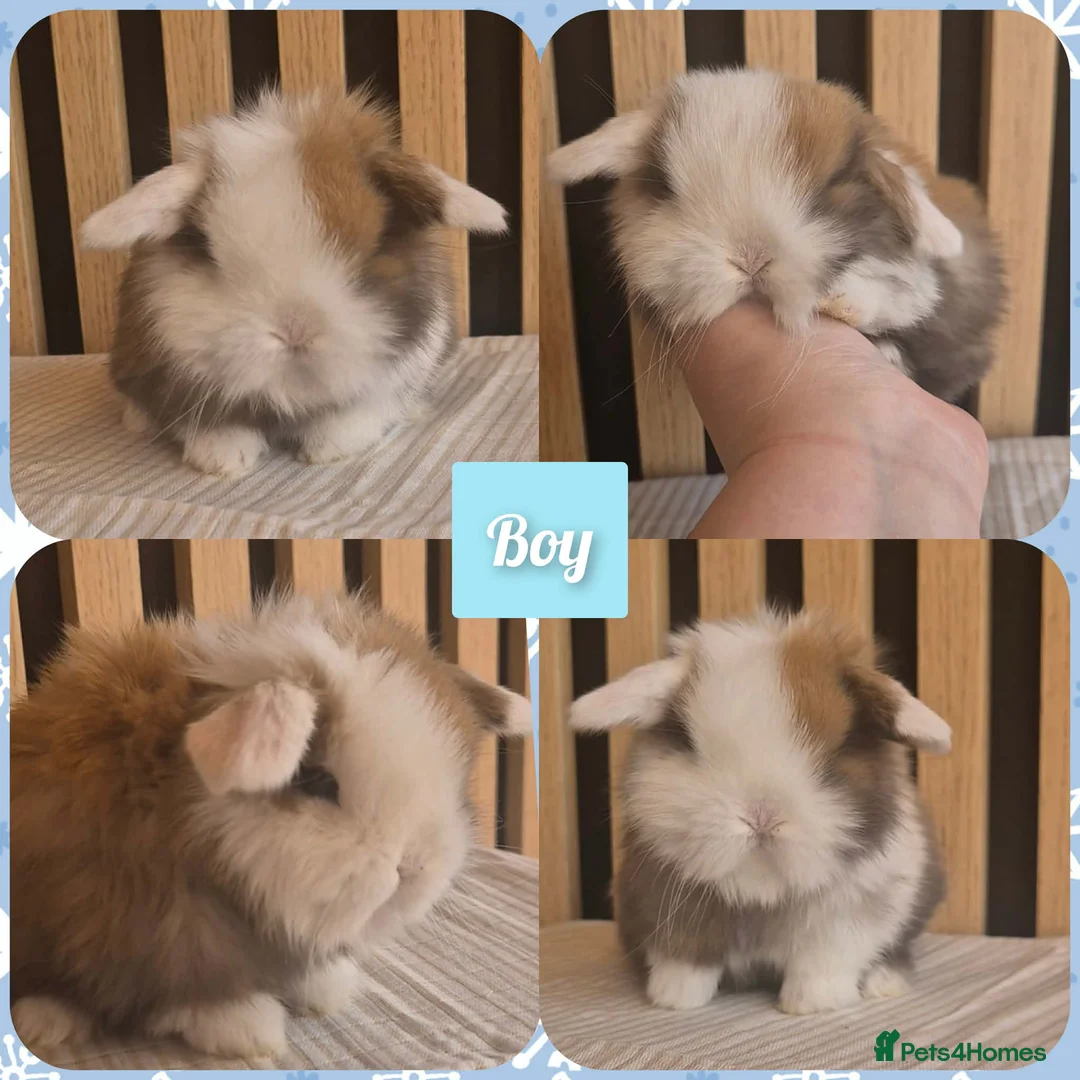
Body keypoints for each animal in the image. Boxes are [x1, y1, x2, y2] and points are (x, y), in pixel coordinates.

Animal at [10, 592, 532, 1060]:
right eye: (316, 781)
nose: (415, 870)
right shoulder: (165, 931)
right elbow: (195, 993)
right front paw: (248, 1030)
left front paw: (329, 990)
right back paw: (46, 1022)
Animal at [80, 88, 508, 477]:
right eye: (205, 246)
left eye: (374, 246)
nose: (296, 331)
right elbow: (212, 426)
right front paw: (224, 462)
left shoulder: (393, 381)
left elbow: (353, 419)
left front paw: (324, 453)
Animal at [547, 67, 1005, 402]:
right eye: (665, 185)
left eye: (829, 186)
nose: (750, 258)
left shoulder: (925, 286)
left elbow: (903, 294)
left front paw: (840, 301)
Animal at [569, 607, 949, 1015]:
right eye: (687, 740)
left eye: (838, 747)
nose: (762, 815)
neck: (759, 892)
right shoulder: (665, 909)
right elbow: (685, 961)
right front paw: (674, 999)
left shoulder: (849, 921)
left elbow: (821, 965)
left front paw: (810, 1005)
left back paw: (885, 984)